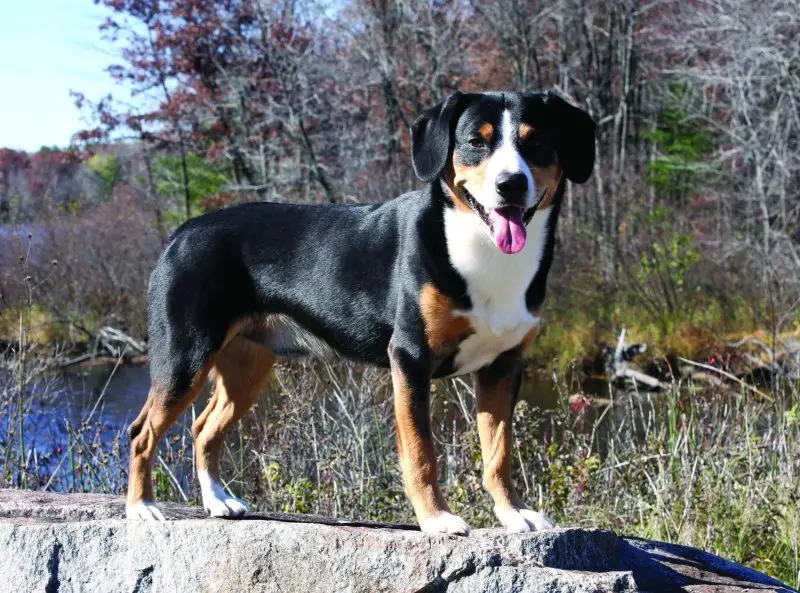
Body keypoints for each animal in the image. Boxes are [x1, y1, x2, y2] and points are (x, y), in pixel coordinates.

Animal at [126, 90, 592, 536]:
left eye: (537, 142)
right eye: (477, 141)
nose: (510, 184)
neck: (480, 250)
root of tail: (183, 230)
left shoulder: (504, 366)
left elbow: (499, 453)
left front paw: (514, 514)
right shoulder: (410, 357)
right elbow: (421, 452)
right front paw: (436, 518)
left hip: (246, 368)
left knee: (204, 428)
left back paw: (218, 501)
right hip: (184, 358)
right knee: (141, 433)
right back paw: (142, 507)